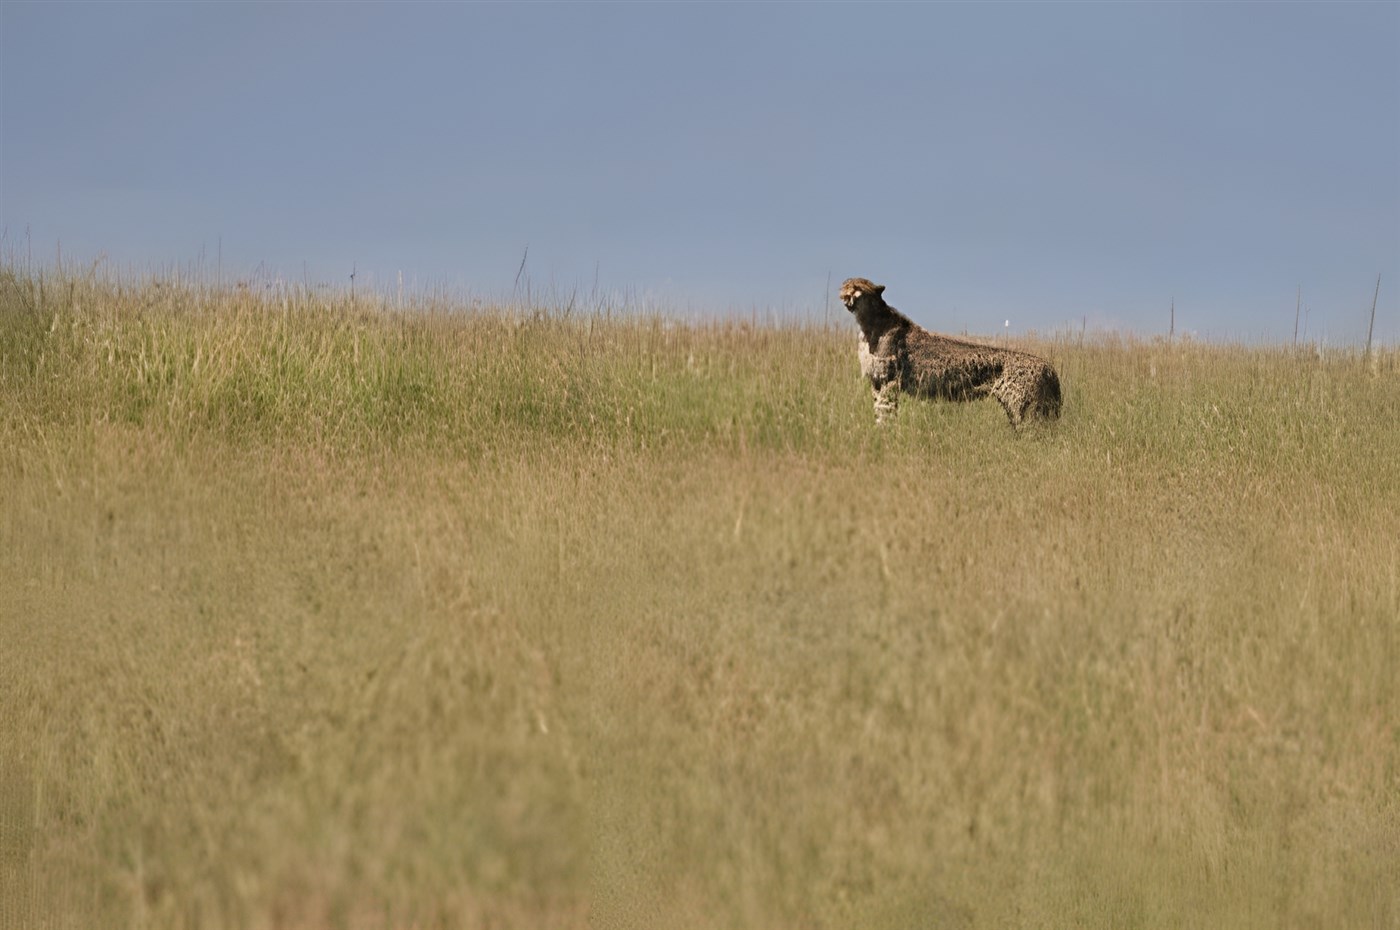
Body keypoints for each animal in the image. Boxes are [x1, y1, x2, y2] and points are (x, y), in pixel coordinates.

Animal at [838, 277, 1062, 426]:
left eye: (856, 288)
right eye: (846, 285)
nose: (843, 294)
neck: (868, 322)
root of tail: (1048, 366)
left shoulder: (888, 383)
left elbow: (885, 413)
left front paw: (885, 437)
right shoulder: (877, 383)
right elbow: (879, 411)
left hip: (1026, 411)